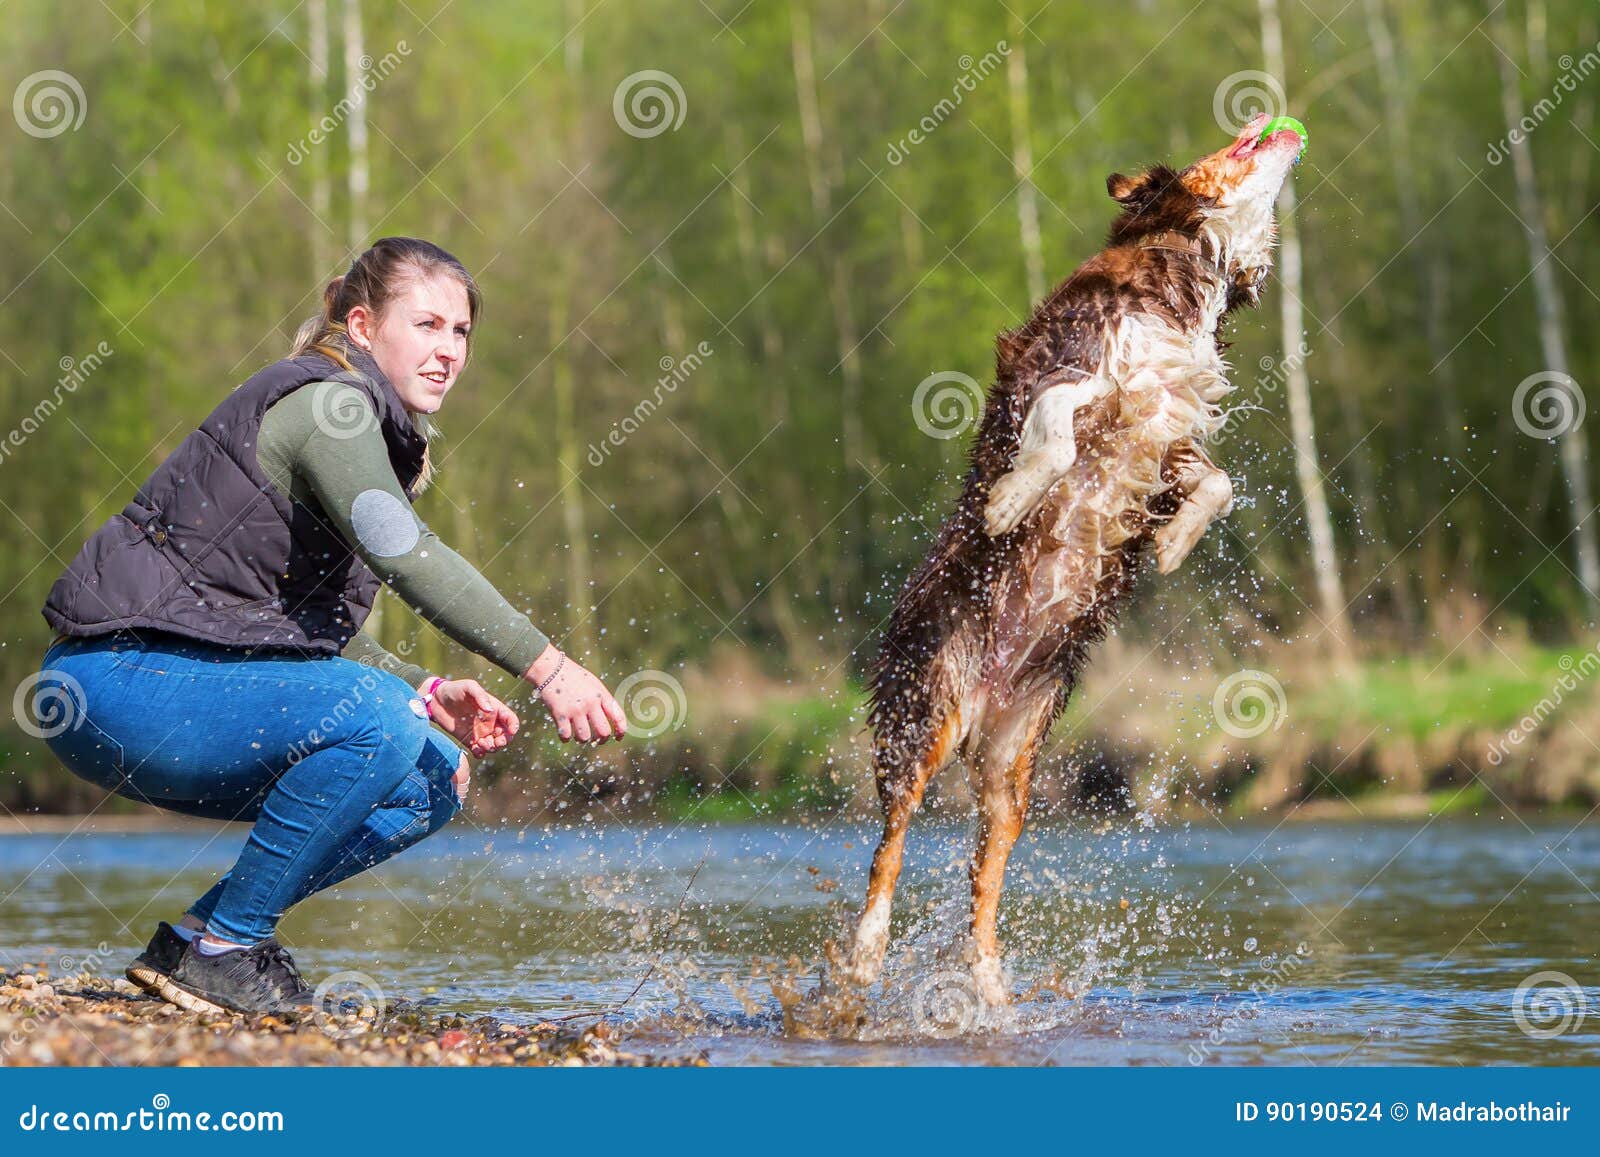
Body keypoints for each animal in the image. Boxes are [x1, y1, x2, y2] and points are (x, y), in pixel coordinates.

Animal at [838, 112, 1299, 1011]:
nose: (1274, 117)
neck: (1186, 274)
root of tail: (982, 701)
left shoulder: (1168, 425)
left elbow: (1217, 482)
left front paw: (1173, 543)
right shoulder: (1065, 367)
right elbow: (1055, 421)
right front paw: (1010, 500)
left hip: (1013, 766)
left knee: (984, 877)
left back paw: (988, 983)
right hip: (927, 711)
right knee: (890, 844)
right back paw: (869, 951)